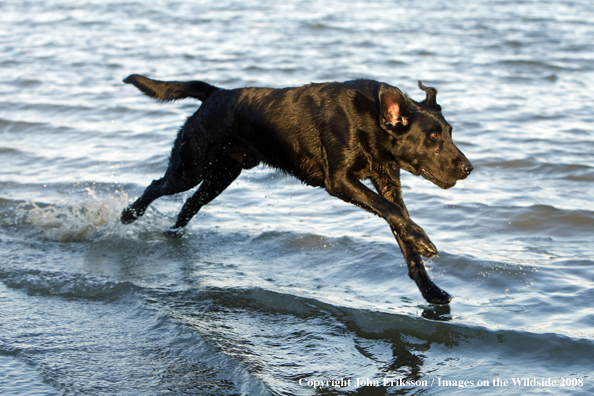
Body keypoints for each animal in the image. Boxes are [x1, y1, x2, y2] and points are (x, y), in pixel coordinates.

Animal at [120, 75, 472, 304]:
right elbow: (395, 213)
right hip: (191, 167)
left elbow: (400, 226)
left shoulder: (386, 181)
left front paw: (430, 290)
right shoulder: (339, 180)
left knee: (190, 204)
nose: (468, 167)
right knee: (157, 186)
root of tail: (216, 93)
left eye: (450, 132)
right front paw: (424, 241)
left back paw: (172, 234)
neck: (370, 121)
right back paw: (128, 214)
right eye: (432, 137)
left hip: (222, 175)